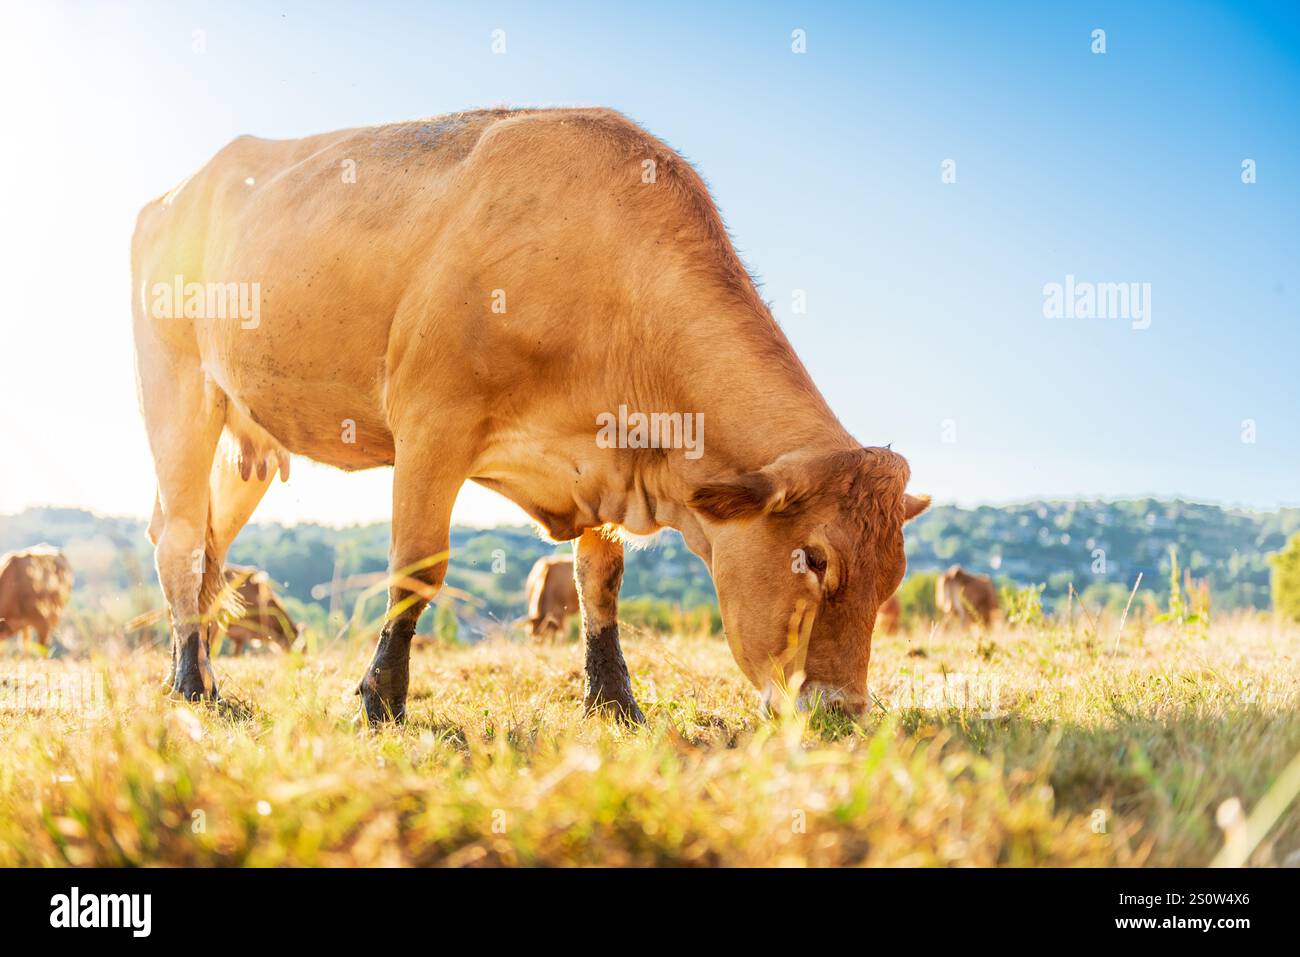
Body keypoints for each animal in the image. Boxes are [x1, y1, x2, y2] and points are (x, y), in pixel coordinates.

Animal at [131, 108, 929, 721]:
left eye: (893, 577)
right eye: (813, 560)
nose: (843, 711)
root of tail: (176, 190)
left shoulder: (606, 465)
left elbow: (599, 581)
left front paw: (614, 700)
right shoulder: (433, 424)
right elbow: (417, 570)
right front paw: (380, 698)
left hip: (249, 441)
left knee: (210, 545)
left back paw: (200, 667)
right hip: (179, 392)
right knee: (182, 540)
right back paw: (192, 685)